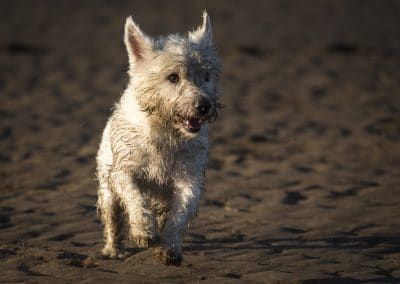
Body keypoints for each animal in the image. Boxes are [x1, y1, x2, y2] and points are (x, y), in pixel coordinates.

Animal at [96, 11, 222, 266]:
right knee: (112, 219)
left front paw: (170, 248)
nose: (204, 105)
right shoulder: (123, 171)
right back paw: (114, 249)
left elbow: (179, 216)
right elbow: (135, 197)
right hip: (106, 189)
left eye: (206, 76)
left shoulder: (188, 179)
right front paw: (144, 232)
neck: (165, 132)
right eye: (173, 77)